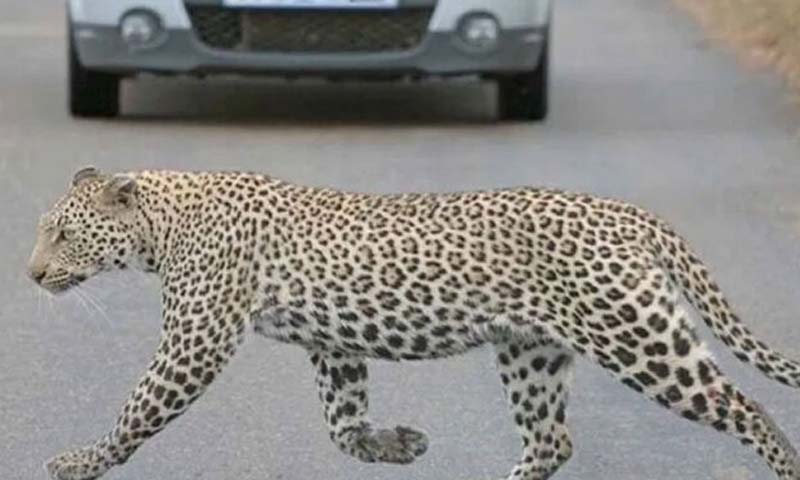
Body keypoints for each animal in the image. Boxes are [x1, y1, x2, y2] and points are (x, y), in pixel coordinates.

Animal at [28, 167, 800, 480]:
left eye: (63, 234)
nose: (31, 275)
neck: (160, 225)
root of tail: (626, 212)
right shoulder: (332, 345)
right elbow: (341, 425)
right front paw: (397, 445)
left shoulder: (196, 337)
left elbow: (137, 410)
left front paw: (78, 462)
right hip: (530, 352)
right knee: (552, 440)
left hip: (637, 336)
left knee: (748, 408)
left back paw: (786, 463)